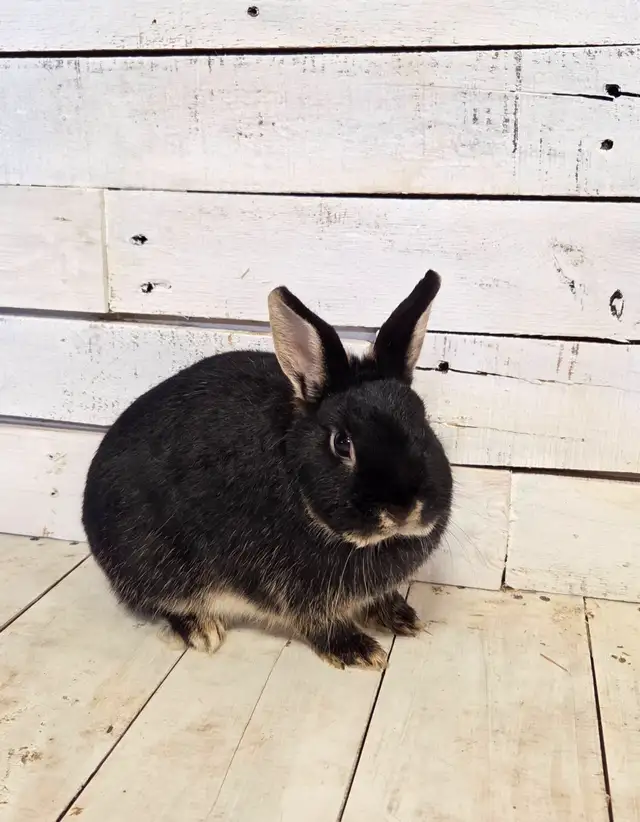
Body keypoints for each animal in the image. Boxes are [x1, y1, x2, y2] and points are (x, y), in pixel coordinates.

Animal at [83, 271, 452, 670]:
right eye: (342, 443)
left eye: (423, 424)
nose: (402, 509)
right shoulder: (289, 586)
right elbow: (314, 619)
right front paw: (357, 649)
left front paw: (400, 615)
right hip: (152, 562)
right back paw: (201, 629)